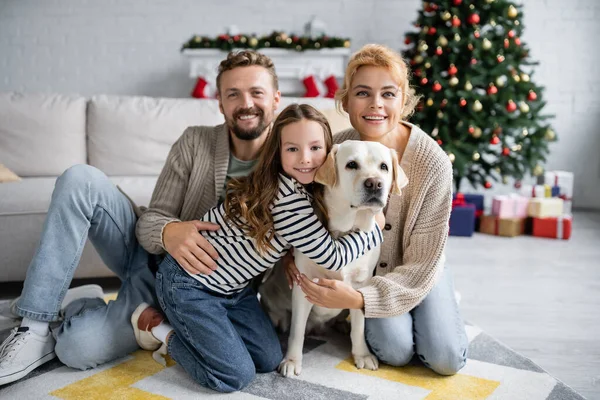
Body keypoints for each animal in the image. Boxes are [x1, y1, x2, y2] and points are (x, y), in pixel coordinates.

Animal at [262, 139, 408, 376]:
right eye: (351, 165)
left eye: (384, 167)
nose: (375, 184)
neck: (345, 232)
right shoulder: (303, 285)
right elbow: (297, 331)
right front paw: (292, 360)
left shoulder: (360, 286)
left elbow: (359, 327)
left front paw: (362, 355)